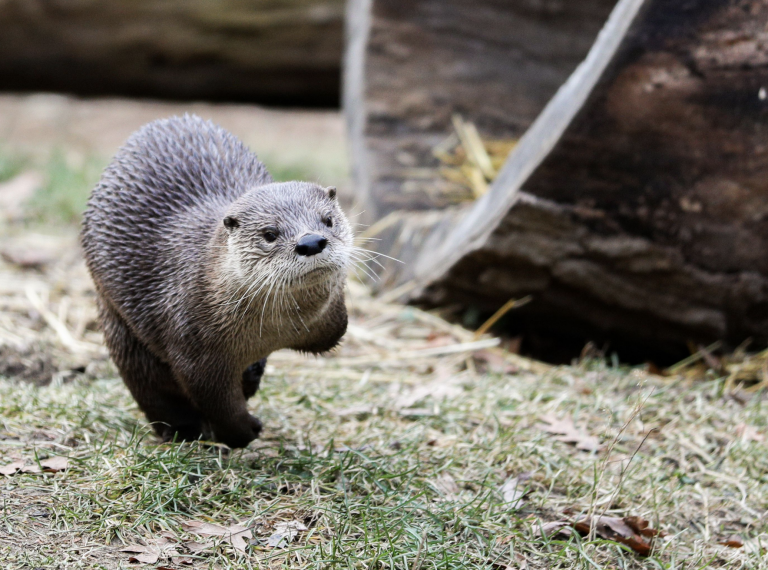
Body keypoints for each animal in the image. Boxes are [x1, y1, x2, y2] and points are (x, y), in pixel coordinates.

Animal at [81, 114, 351, 448]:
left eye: (328, 220)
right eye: (270, 234)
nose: (311, 241)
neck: (275, 331)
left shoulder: (328, 324)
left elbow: (334, 333)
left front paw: (251, 377)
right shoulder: (194, 345)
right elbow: (215, 400)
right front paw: (244, 430)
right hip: (120, 328)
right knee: (152, 390)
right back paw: (183, 431)